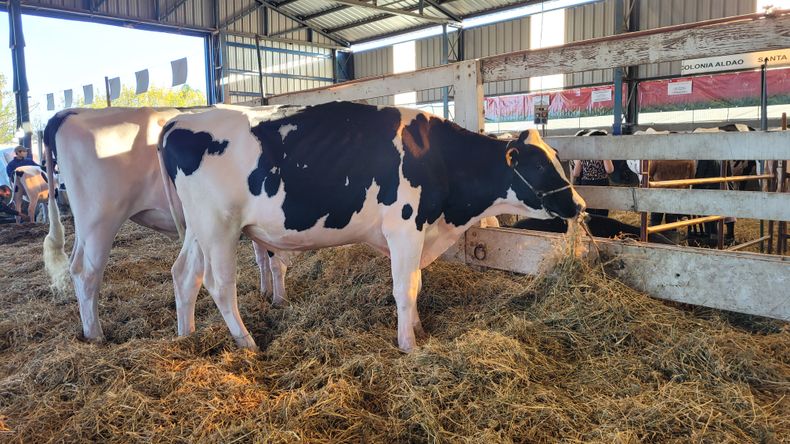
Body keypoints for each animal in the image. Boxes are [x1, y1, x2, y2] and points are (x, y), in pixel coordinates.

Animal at [41, 107, 284, 343]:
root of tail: (65, 114)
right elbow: (276, 261)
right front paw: (280, 299)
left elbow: (262, 256)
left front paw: (266, 292)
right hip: (99, 220)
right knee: (87, 273)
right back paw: (95, 335)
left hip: (85, 229)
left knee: (75, 264)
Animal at [159, 102, 586, 352]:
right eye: (539, 164)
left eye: (557, 156)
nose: (579, 205)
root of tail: (180, 120)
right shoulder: (405, 227)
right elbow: (404, 288)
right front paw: (408, 344)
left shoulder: (419, 232)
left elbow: (416, 284)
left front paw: (418, 329)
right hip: (219, 227)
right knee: (220, 286)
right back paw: (246, 342)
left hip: (199, 229)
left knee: (185, 275)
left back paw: (186, 335)